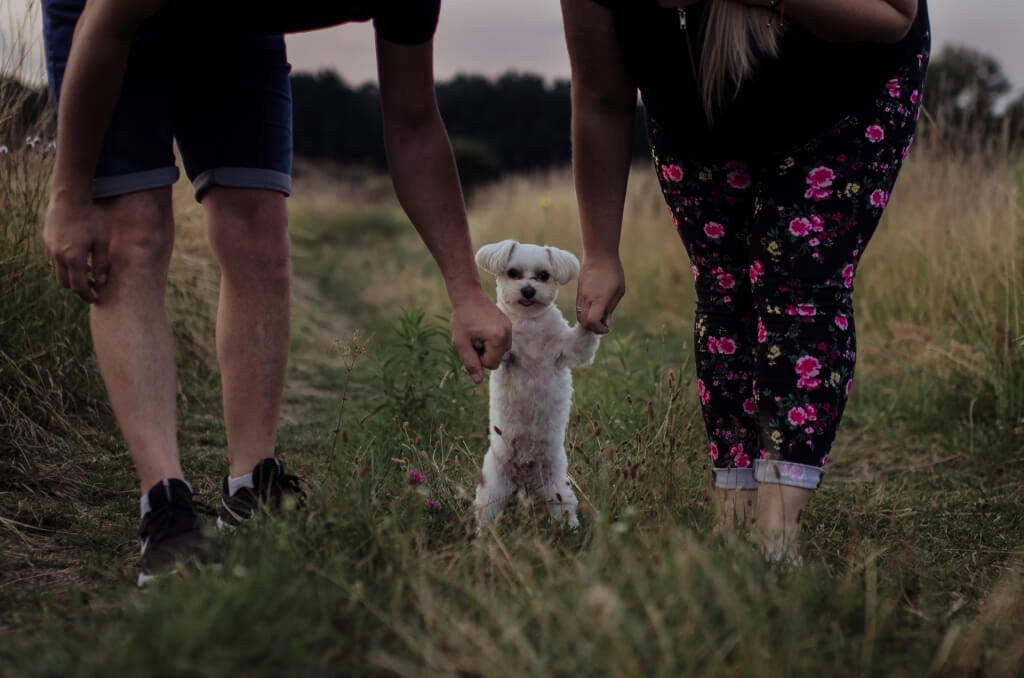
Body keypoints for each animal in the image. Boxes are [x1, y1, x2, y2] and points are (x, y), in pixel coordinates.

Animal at [471, 238, 598, 532]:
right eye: (513, 273)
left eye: (543, 275)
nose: (528, 290)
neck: (529, 324)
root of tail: (525, 474)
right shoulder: (505, 355)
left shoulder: (570, 348)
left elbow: (583, 338)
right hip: (493, 485)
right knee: (486, 511)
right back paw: (483, 535)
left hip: (557, 484)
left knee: (564, 506)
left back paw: (570, 529)